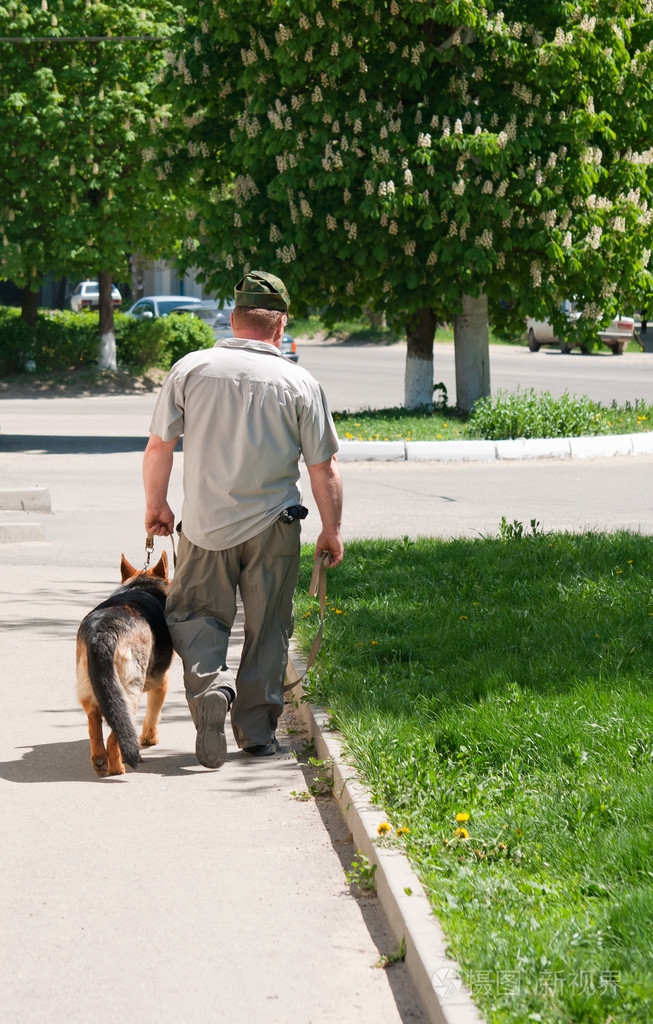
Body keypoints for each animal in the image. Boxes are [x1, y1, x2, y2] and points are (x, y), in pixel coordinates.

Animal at [76, 552, 173, 774]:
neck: (141, 586)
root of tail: (102, 631)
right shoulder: (162, 683)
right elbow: (153, 714)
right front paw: (149, 738)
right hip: (129, 693)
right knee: (116, 736)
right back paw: (118, 767)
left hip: (91, 691)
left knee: (94, 724)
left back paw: (100, 760)